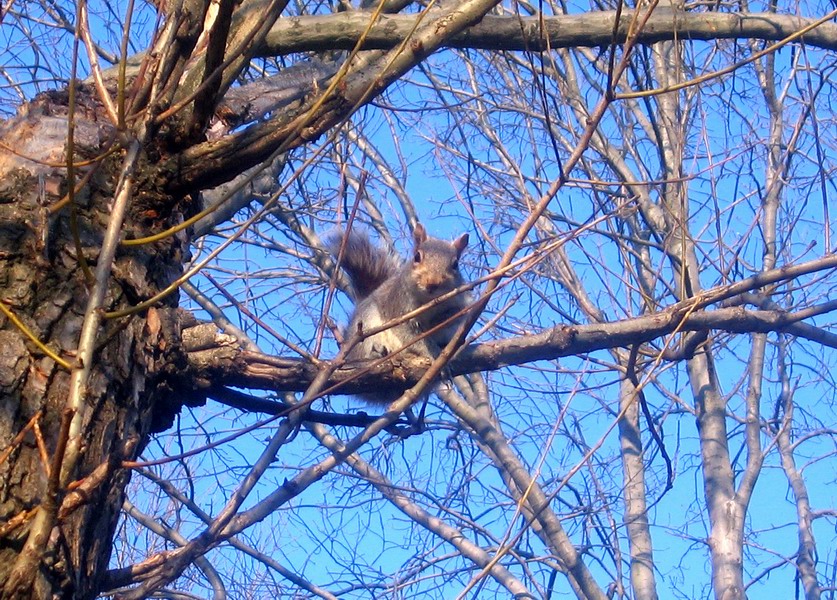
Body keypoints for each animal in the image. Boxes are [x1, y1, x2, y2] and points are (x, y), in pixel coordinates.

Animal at [326, 224, 470, 404]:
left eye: (455, 264)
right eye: (417, 257)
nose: (432, 283)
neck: (428, 300)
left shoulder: (460, 303)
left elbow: (453, 316)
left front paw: (440, 322)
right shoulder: (398, 309)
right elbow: (413, 337)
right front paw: (434, 354)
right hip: (366, 326)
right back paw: (376, 353)